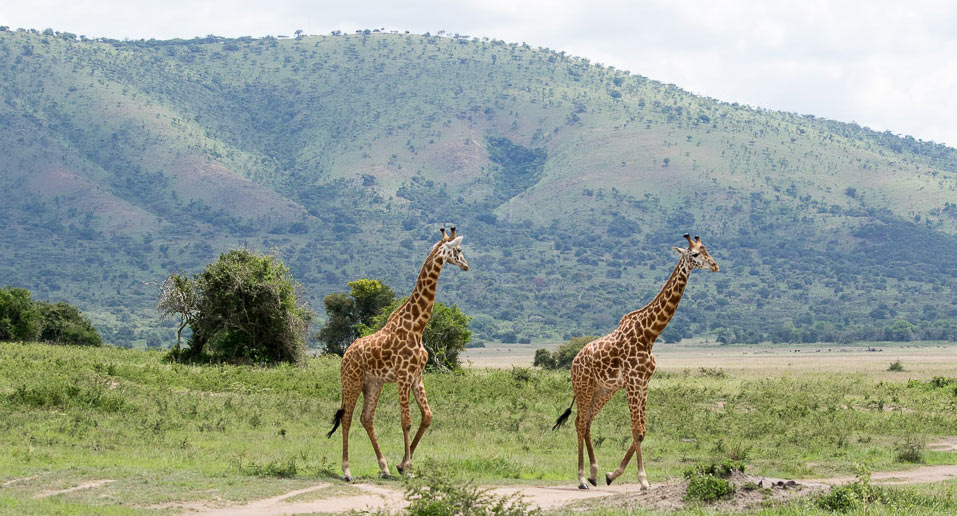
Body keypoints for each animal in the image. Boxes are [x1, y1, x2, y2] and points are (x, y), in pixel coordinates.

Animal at [324, 226, 466, 480]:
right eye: (458, 250)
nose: (467, 265)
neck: (417, 326)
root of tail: (346, 354)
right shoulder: (403, 376)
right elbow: (406, 421)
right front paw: (408, 468)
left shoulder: (417, 376)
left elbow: (427, 416)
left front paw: (401, 465)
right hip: (351, 381)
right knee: (347, 417)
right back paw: (347, 470)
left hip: (373, 383)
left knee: (365, 418)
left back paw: (384, 467)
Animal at [552, 232, 716, 490]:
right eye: (695, 254)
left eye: (708, 251)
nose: (715, 266)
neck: (649, 334)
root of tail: (575, 360)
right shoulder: (632, 382)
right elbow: (636, 429)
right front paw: (643, 480)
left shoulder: (644, 383)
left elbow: (643, 430)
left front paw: (612, 474)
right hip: (583, 387)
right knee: (579, 422)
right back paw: (581, 479)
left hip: (603, 390)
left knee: (587, 422)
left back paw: (594, 474)